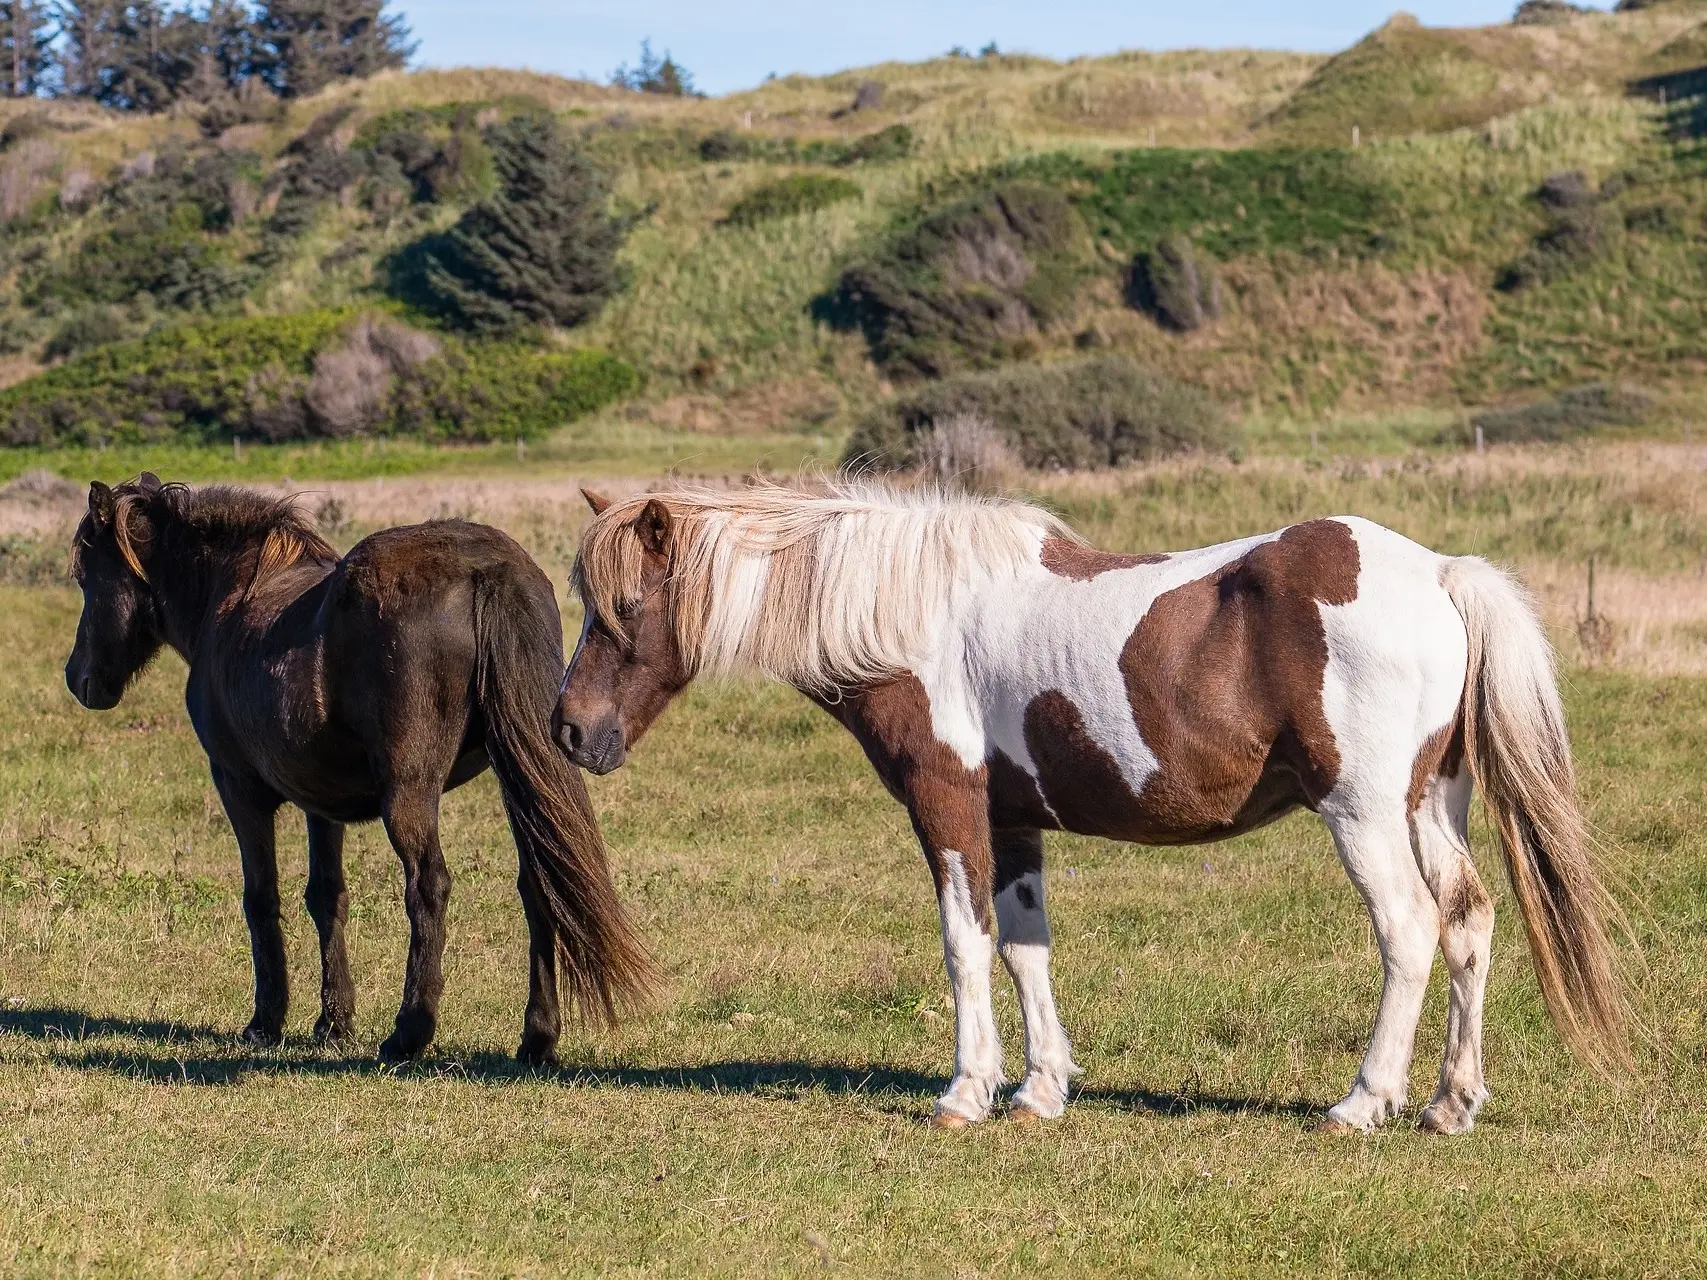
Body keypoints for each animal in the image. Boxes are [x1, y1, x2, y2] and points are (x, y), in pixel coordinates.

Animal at [68, 471, 652, 1064]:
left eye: (85, 577)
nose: (80, 679)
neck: (228, 603)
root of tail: (485, 570)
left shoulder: (238, 787)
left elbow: (261, 897)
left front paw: (266, 1021)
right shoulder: (319, 802)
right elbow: (327, 897)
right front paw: (333, 1021)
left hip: (410, 793)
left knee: (428, 887)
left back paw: (409, 1031)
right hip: (520, 774)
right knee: (538, 884)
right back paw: (537, 1038)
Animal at [559, 481, 1625, 1133]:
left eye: (622, 611)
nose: (570, 731)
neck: (909, 615)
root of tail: (1438, 573)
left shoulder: (947, 807)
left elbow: (964, 945)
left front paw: (964, 1092)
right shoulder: (1012, 820)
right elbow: (1026, 948)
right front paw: (1037, 1090)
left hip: (1362, 814)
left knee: (1407, 931)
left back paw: (1363, 1102)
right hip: (1425, 807)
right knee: (1467, 923)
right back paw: (1450, 1104)